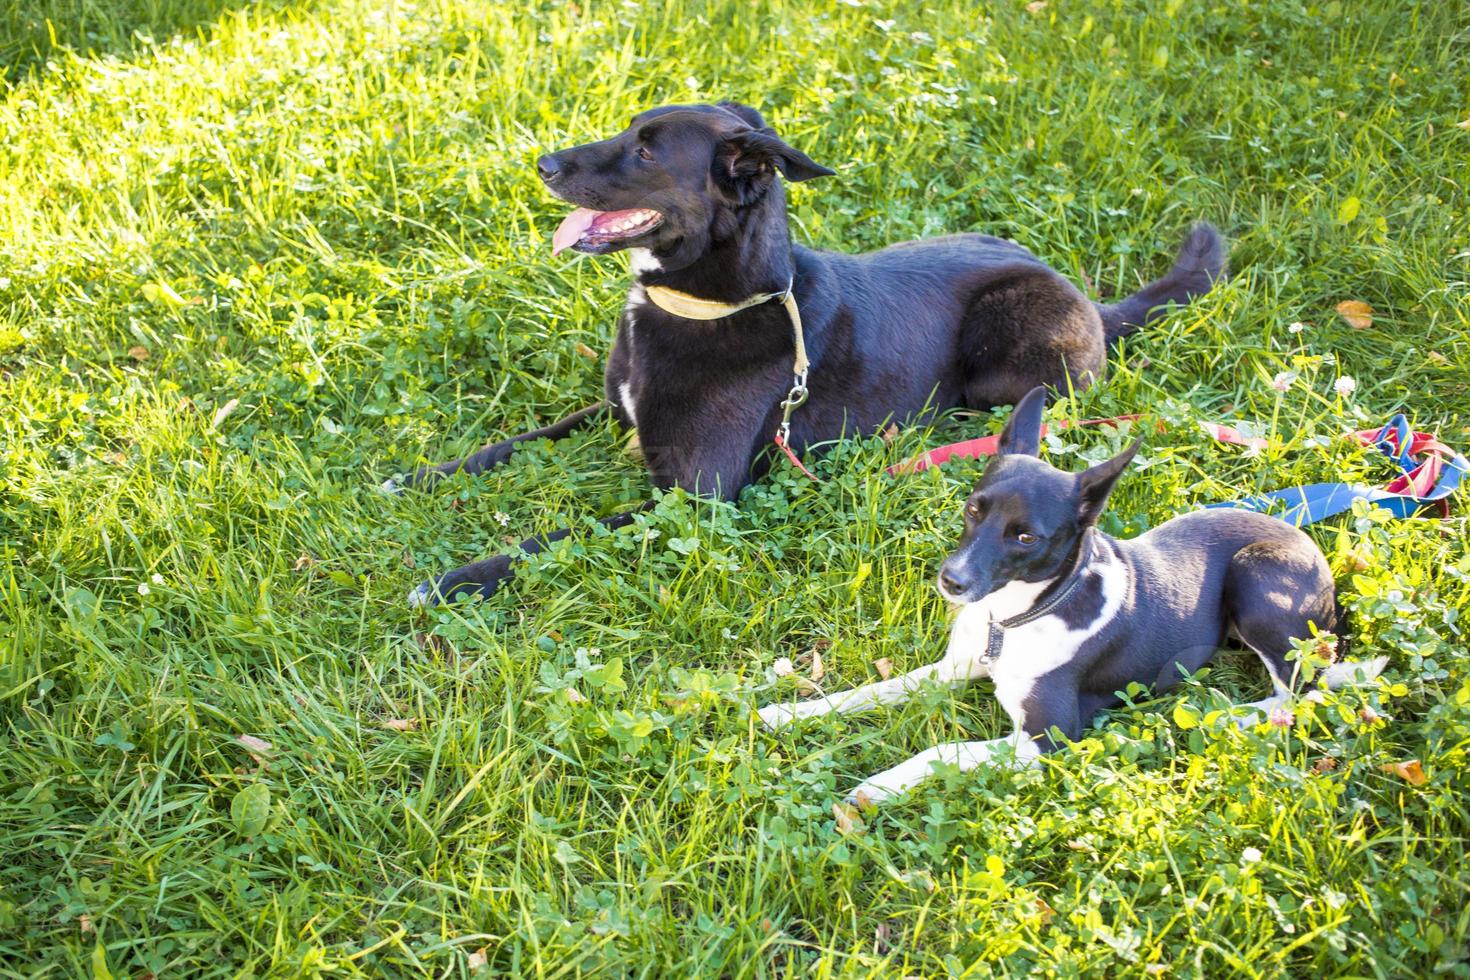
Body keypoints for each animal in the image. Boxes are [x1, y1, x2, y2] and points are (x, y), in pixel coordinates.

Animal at [393, 101, 1228, 605]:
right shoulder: (610, 411)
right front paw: (419, 476)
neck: (716, 301)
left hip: (1007, 347)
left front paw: (458, 577)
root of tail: (1087, 298)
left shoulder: (693, 499)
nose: (542, 164)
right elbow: (517, 440)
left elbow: (561, 534)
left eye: (645, 153)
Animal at [758, 387, 1387, 811]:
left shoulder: (1047, 739)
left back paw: (1223, 714)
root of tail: (1313, 550)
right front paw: (789, 713)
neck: (1013, 618)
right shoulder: (950, 669)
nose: (952, 582)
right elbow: (868, 692)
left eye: (1026, 538)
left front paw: (878, 786)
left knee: (1298, 695)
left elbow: (943, 750)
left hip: (1254, 577)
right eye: (972, 509)